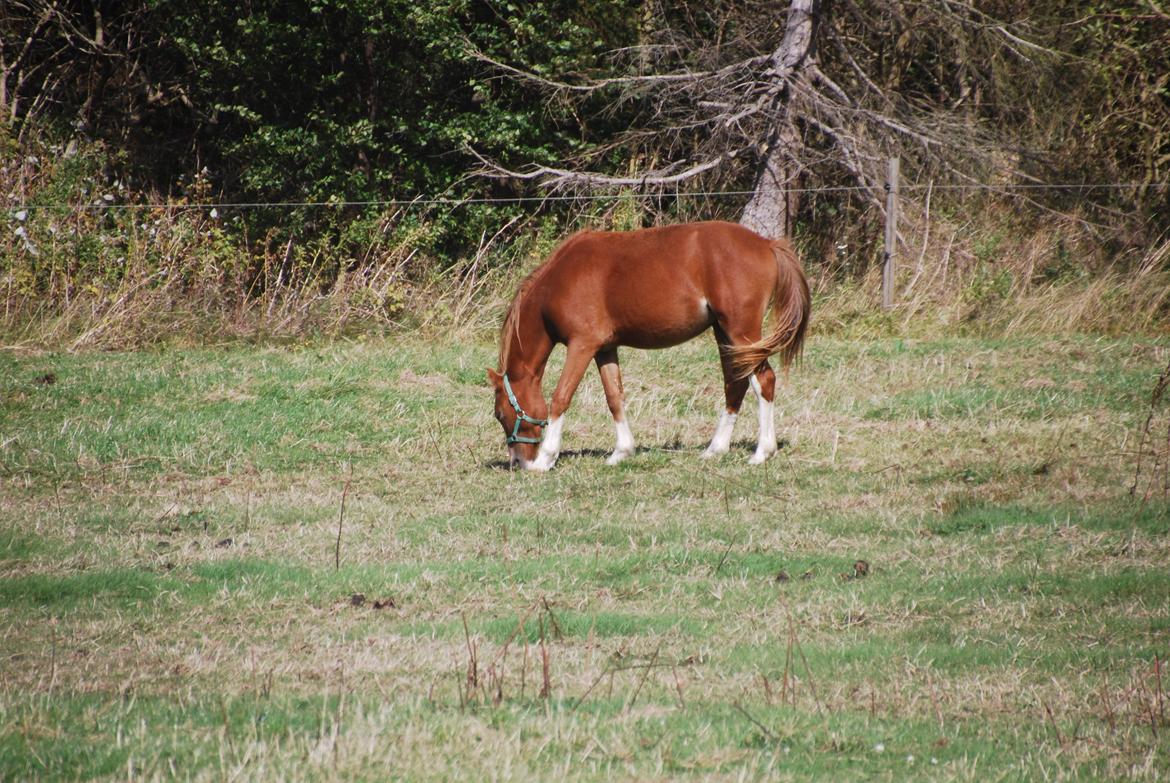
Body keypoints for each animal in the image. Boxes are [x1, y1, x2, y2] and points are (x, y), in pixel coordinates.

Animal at [489, 218, 809, 470]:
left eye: (500, 414)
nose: (518, 462)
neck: (560, 280)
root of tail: (766, 244)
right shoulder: (604, 349)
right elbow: (614, 397)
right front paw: (621, 452)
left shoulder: (582, 345)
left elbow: (561, 397)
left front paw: (546, 458)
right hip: (725, 334)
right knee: (736, 382)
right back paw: (716, 449)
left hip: (741, 332)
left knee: (764, 380)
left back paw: (762, 452)